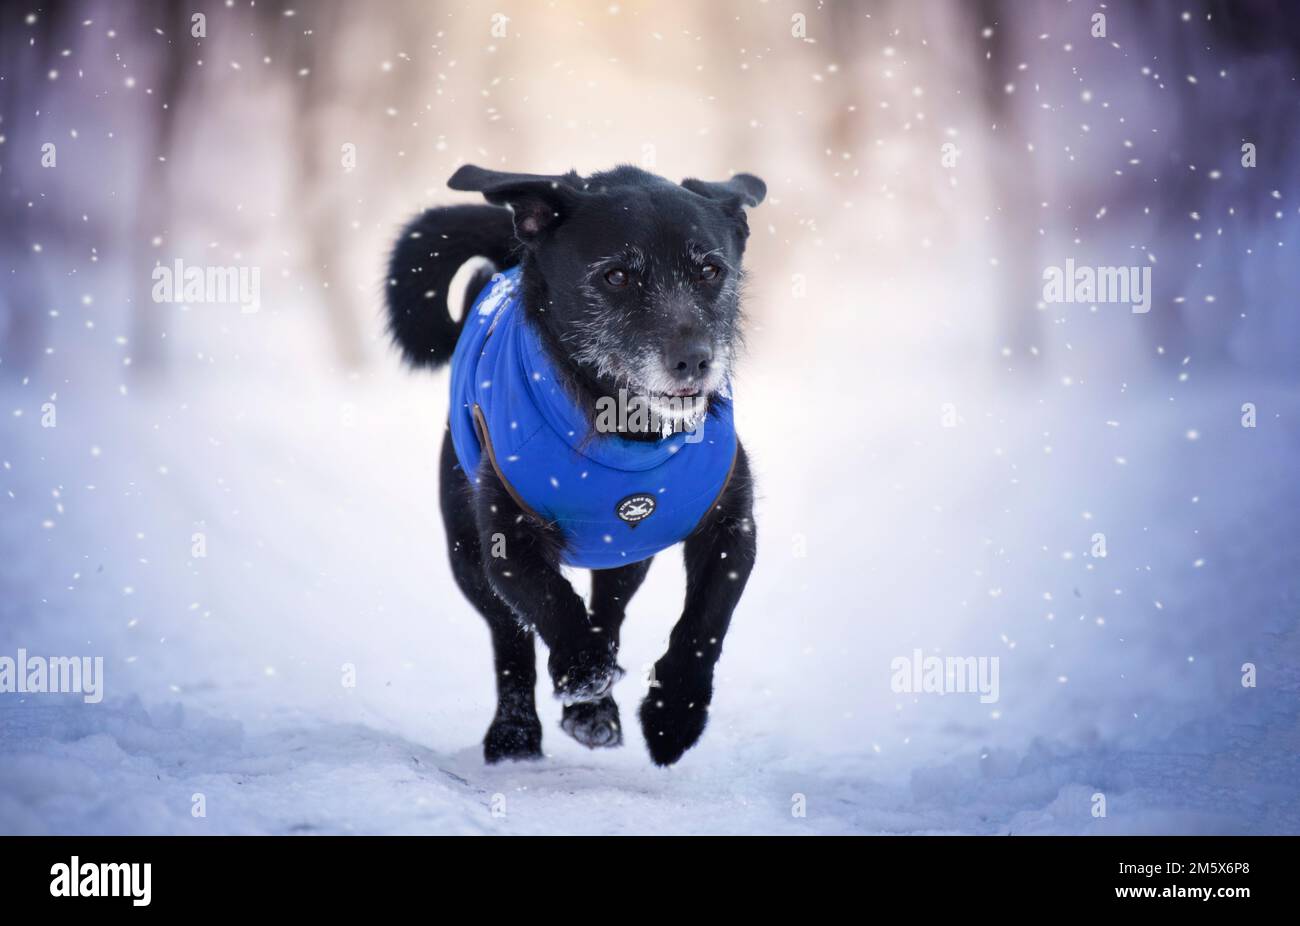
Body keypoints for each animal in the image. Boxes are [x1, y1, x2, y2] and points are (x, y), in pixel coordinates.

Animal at [382, 162, 759, 764]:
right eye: (616, 276)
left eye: (709, 270)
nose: (694, 361)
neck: (628, 431)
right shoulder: (506, 539)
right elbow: (549, 600)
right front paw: (581, 671)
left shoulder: (731, 524)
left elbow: (706, 621)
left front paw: (674, 713)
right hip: (466, 555)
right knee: (510, 637)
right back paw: (518, 730)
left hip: (624, 555)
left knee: (609, 611)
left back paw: (594, 711)